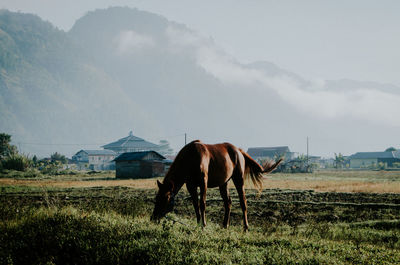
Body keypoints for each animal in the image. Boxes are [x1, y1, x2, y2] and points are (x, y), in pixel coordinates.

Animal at [152, 140, 282, 229]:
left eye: (165, 198)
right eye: (156, 198)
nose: (153, 218)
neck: (190, 158)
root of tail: (239, 151)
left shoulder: (203, 183)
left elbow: (202, 203)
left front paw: (203, 225)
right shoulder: (191, 185)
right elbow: (195, 205)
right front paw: (198, 223)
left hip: (238, 179)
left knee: (243, 201)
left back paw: (245, 227)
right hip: (223, 183)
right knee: (228, 202)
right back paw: (225, 225)